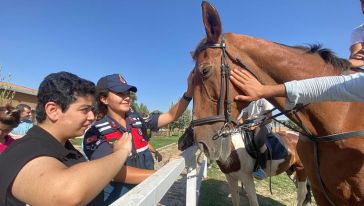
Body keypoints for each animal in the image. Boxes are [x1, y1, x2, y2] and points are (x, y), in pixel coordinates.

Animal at [191, 1, 364, 206]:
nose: (202, 143)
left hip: (301, 171)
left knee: (300, 194)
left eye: (205, 71)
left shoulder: (247, 179)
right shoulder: (232, 178)